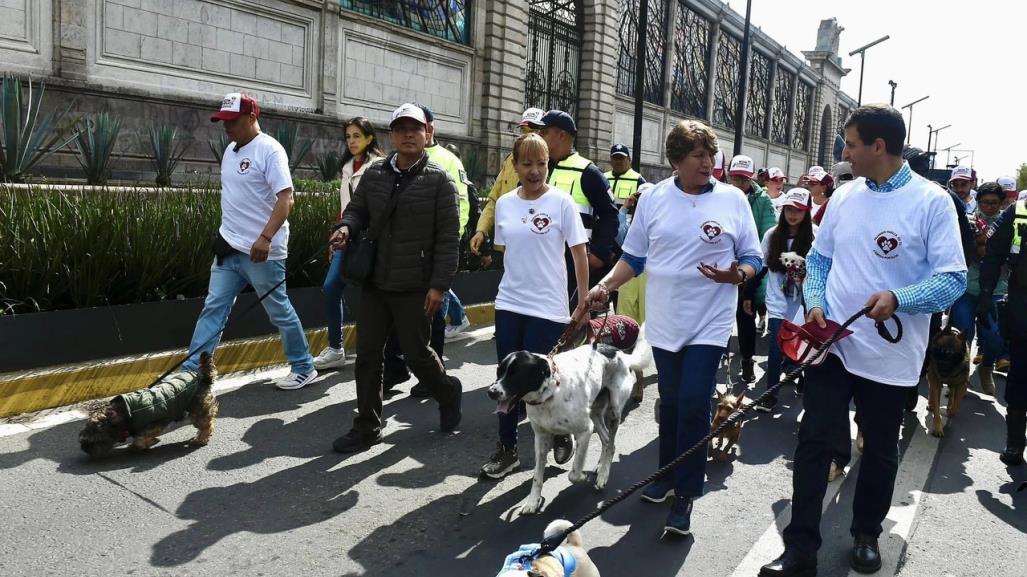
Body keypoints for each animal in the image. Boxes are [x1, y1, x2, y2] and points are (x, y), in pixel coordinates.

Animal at [79, 351, 217, 457]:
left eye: (94, 441)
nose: (84, 449)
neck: (124, 414)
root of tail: (203, 378)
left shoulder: (153, 424)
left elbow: (141, 439)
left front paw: (142, 444)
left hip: (198, 410)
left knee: (206, 425)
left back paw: (200, 439)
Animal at [486, 334, 649, 513]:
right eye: (499, 372)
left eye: (516, 374)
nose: (491, 392)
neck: (549, 395)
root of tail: (619, 352)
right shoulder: (541, 438)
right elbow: (537, 476)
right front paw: (532, 502)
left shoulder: (585, 431)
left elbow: (574, 473)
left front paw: (583, 476)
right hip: (595, 413)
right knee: (606, 440)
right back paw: (600, 466)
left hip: (613, 411)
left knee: (611, 445)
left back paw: (603, 475)